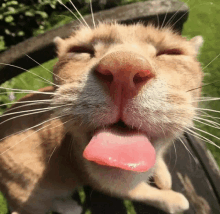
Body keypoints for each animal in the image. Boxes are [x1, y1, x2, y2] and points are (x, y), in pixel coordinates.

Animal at [0, 2, 211, 214]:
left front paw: (163, 175)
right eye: (80, 50)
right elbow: (149, 194)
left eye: (171, 53)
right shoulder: (113, 187)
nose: (123, 68)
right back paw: (68, 206)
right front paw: (174, 199)